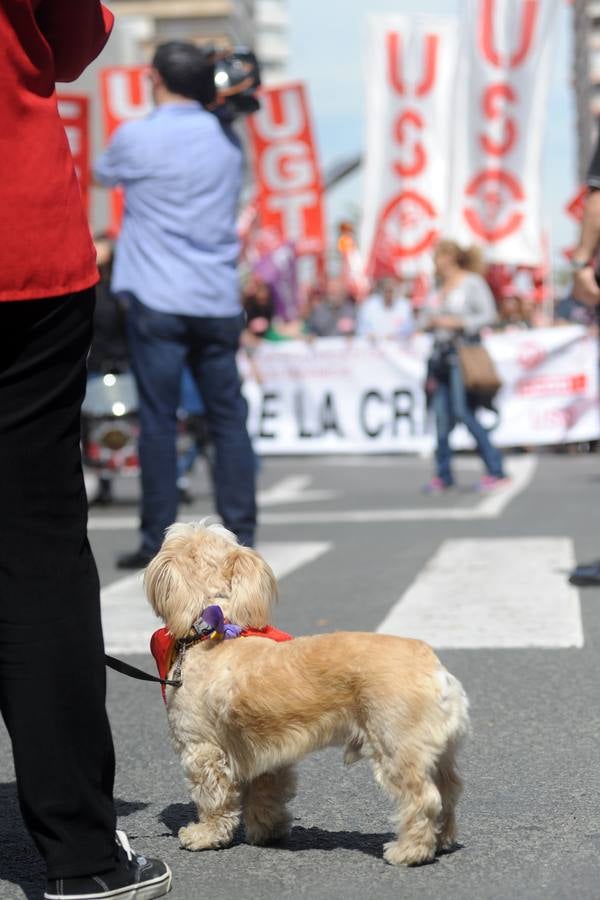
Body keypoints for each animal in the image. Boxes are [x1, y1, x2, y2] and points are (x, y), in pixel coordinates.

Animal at [144, 520, 468, 864]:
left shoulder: (203, 749)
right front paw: (267, 831)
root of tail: (433, 668)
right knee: (448, 793)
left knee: (423, 799)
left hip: (396, 747)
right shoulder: (265, 754)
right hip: (437, 754)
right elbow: (266, 795)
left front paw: (205, 835)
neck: (214, 629)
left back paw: (409, 851)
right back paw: (441, 840)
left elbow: (213, 798)